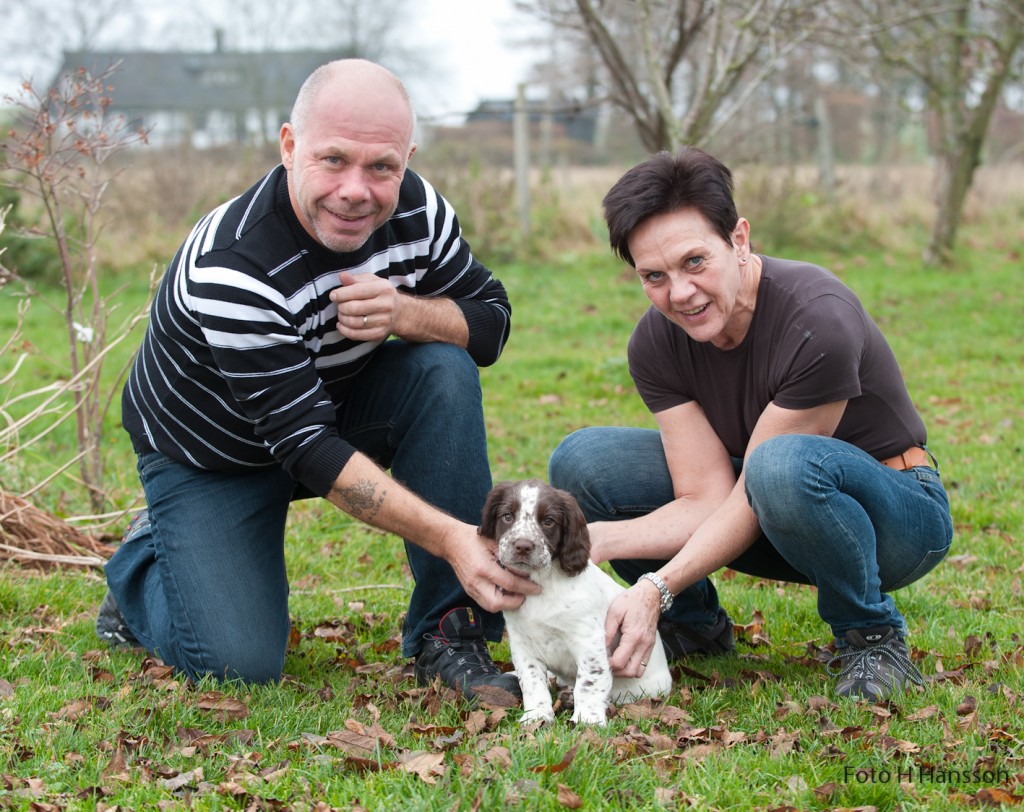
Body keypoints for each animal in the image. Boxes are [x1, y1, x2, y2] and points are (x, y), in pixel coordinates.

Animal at [479, 475, 671, 720]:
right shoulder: (522, 642)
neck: (542, 583)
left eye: (548, 521)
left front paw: (588, 720)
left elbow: (589, 681)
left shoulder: (588, 640)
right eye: (507, 516)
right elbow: (532, 680)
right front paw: (537, 716)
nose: (522, 546)